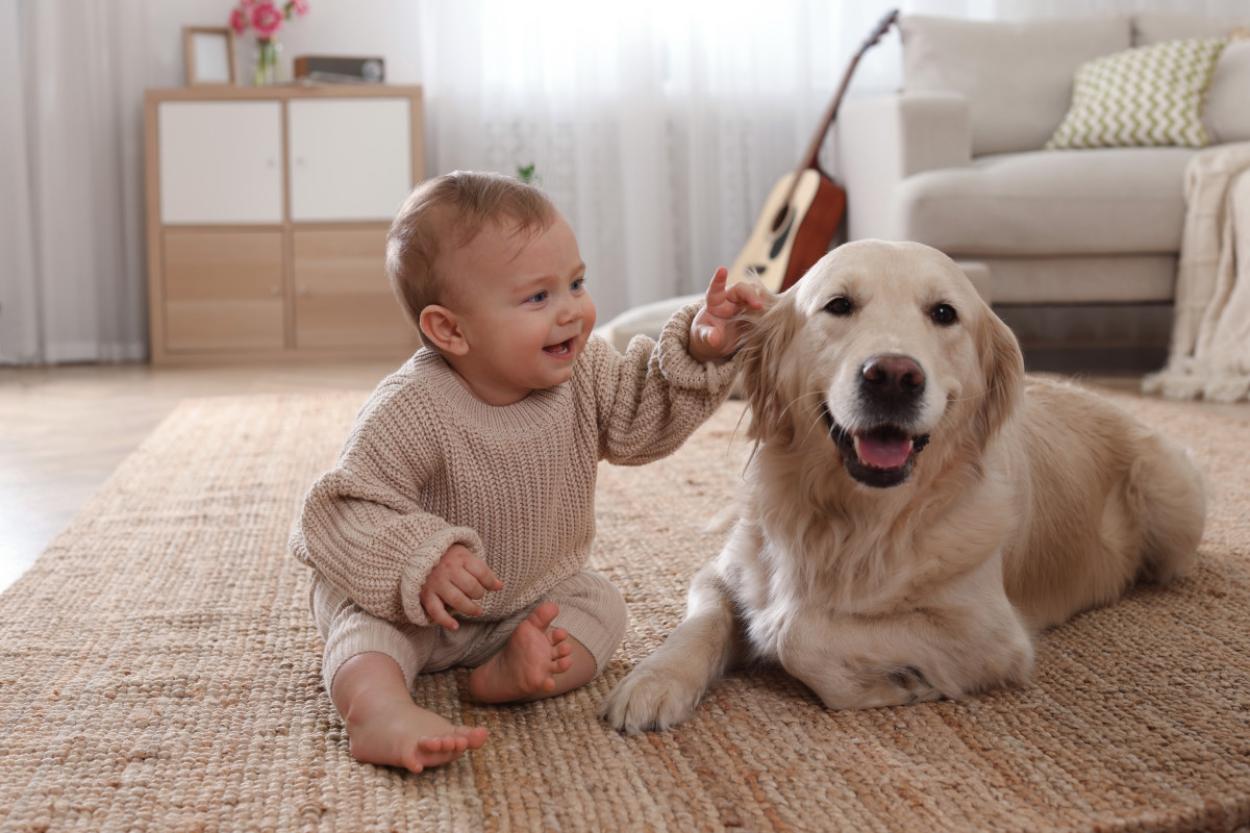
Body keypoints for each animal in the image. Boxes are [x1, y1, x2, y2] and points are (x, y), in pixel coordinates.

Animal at [600, 238, 1205, 725]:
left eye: (943, 313)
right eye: (839, 305)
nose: (892, 376)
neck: (854, 519)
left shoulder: (990, 634)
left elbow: (794, 626)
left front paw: (897, 683)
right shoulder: (722, 572)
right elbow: (702, 619)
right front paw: (652, 682)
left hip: (1173, 495)